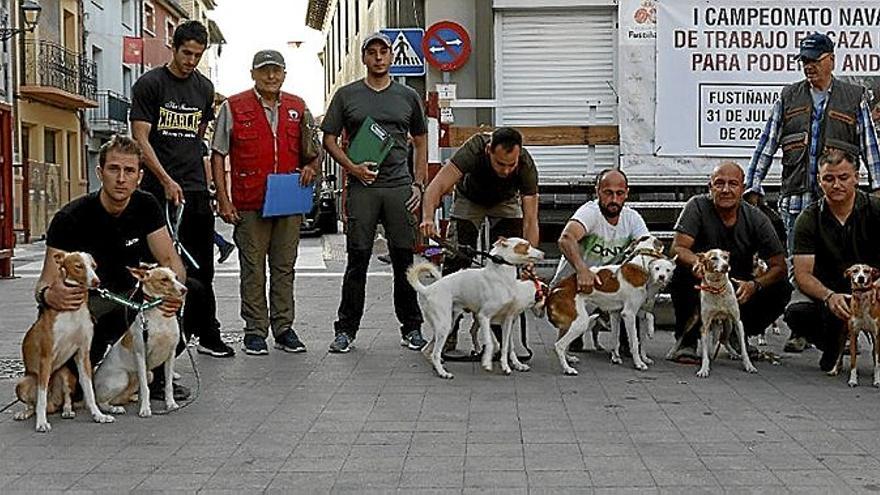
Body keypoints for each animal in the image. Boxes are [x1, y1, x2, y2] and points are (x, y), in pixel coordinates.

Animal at [13, 254, 114, 432]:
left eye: (94, 266)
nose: (97, 282)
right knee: (34, 404)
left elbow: (89, 390)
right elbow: (41, 396)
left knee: (66, 397)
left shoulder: (83, 355)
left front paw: (98, 415)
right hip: (23, 383)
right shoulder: (45, 358)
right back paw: (26, 413)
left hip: (65, 372)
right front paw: (41, 422)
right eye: (78, 266)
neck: (73, 312)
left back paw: (67, 410)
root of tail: (53, 405)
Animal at [93, 266, 186, 416]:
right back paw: (114, 409)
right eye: (164, 279)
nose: (184, 289)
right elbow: (145, 388)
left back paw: (132, 397)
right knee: (102, 402)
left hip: (150, 374)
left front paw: (171, 404)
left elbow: (168, 384)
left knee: (121, 398)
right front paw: (145, 409)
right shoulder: (141, 356)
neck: (161, 318)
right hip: (122, 377)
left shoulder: (170, 354)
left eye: (176, 277)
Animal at [408, 237, 544, 380]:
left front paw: (506, 366)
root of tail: (429, 289)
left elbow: (506, 346)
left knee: (427, 350)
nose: (543, 254)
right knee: (435, 353)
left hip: (448, 325)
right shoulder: (484, 317)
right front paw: (487, 362)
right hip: (444, 326)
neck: (502, 278)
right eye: (525, 245)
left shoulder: (506, 322)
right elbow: (490, 343)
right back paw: (442, 372)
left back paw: (437, 366)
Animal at [668, 250, 756, 378]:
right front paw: (704, 369)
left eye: (726, 257)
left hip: (728, 324)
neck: (717, 289)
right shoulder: (704, 326)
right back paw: (672, 352)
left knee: (724, 339)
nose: (726, 266)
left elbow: (744, 349)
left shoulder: (738, 322)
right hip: (694, 319)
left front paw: (749, 365)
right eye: (713, 258)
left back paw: (733, 353)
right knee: (682, 336)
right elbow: (704, 353)